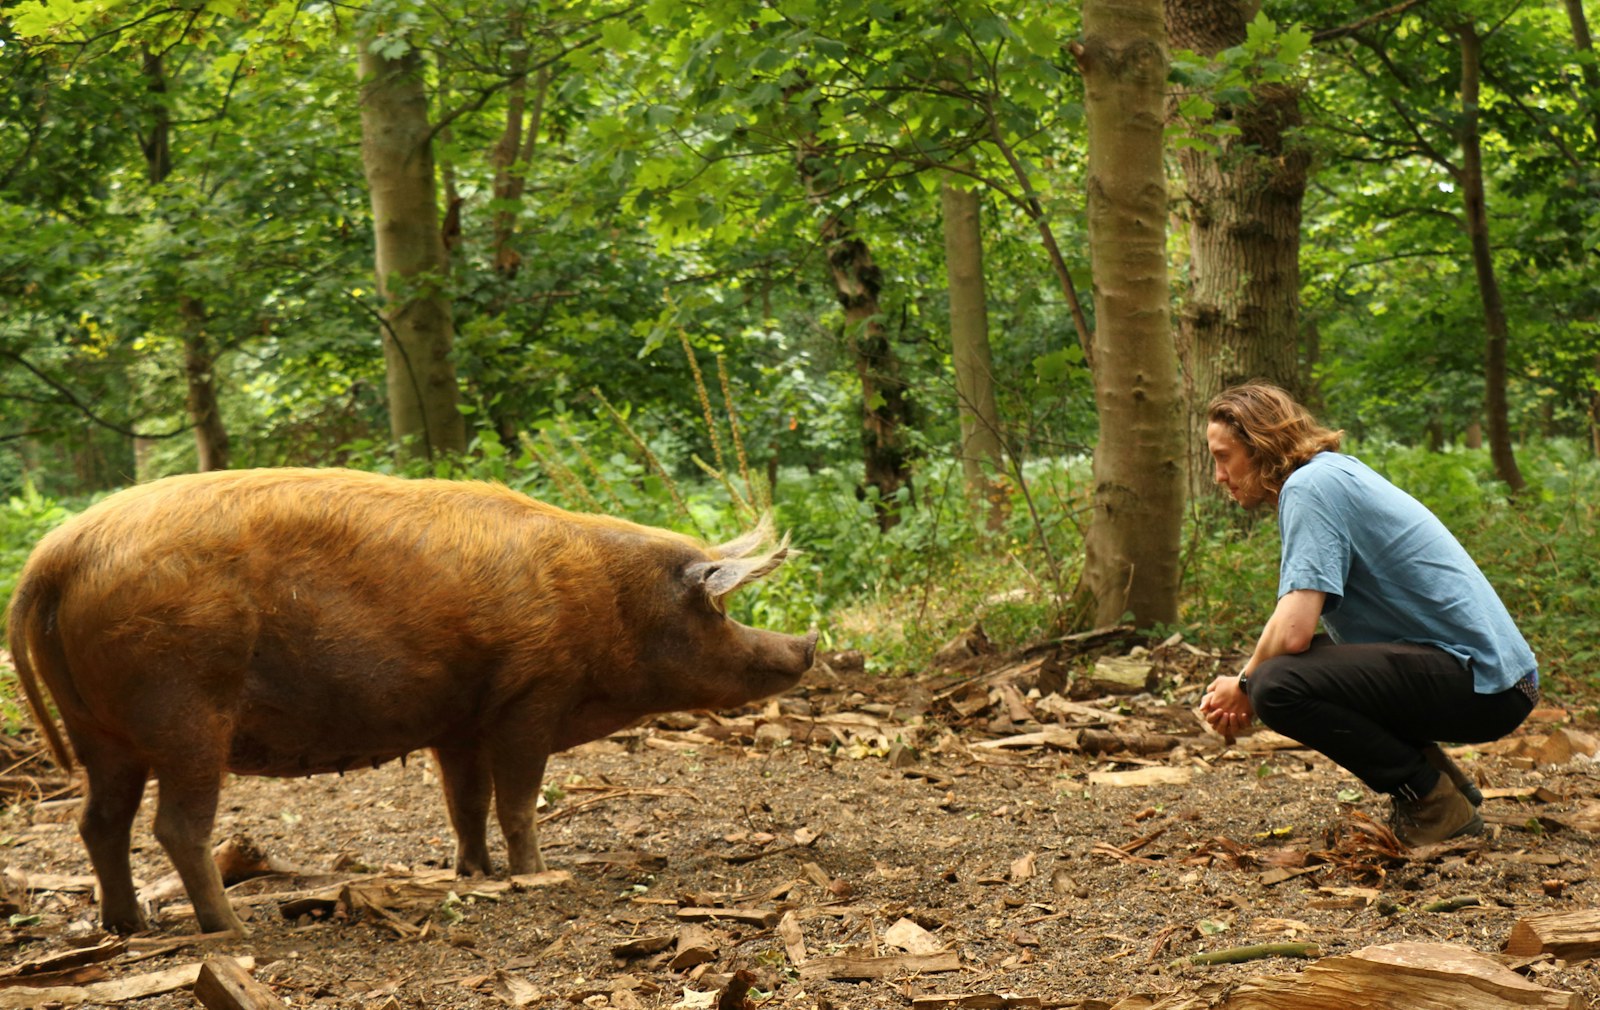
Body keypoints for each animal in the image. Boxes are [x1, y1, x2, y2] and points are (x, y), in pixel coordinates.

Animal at [9, 470, 812, 934]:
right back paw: (228, 930)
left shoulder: (459, 722)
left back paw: (128, 928)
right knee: (175, 826)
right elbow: (518, 800)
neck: (611, 604)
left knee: (99, 821)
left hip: (98, 729)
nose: (806, 647)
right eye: (718, 611)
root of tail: (55, 556)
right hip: (187, 708)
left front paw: (473, 875)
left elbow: (466, 803)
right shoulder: (530, 697)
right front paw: (537, 874)